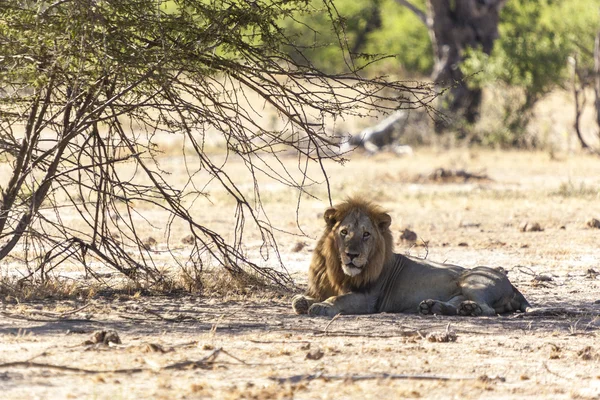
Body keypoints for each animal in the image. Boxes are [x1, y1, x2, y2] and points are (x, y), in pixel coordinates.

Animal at [292, 198, 532, 318]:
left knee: (487, 309)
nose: (352, 255)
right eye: (344, 232)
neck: (339, 269)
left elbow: (339, 299)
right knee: (456, 304)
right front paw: (303, 301)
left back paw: (469, 310)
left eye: (366, 234)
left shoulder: (368, 298)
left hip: (472, 280)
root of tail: (512, 286)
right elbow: (304, 298)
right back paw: (432, 307)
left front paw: (321, 307)